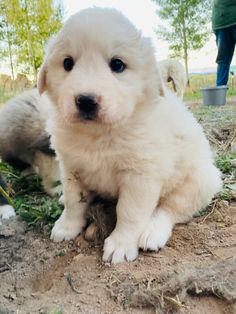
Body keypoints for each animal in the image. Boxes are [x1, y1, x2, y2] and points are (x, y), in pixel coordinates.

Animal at [37, 6, 222, 262]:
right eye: (67, 63)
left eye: (117, 64)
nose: (86, 101)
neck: (100, 134)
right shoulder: (71, 166)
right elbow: (75, 201)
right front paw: (66, 226)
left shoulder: (141, 175)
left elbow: (129, 211)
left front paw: (121, 244)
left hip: (200, 181)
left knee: (171, 209)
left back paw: (153, 232)